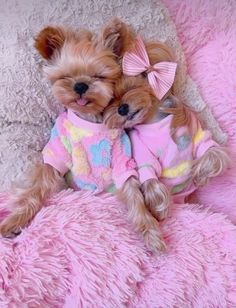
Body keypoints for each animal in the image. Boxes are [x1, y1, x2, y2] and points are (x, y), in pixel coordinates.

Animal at [106, 35, 230, 245]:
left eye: (135, 87)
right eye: (112, 99)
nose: (122, 108)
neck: (156, 120)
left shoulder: (198, 132)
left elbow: (214, 155)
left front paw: (198, 174)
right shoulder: (142, 154)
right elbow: (152, 183)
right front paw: (159, 211)